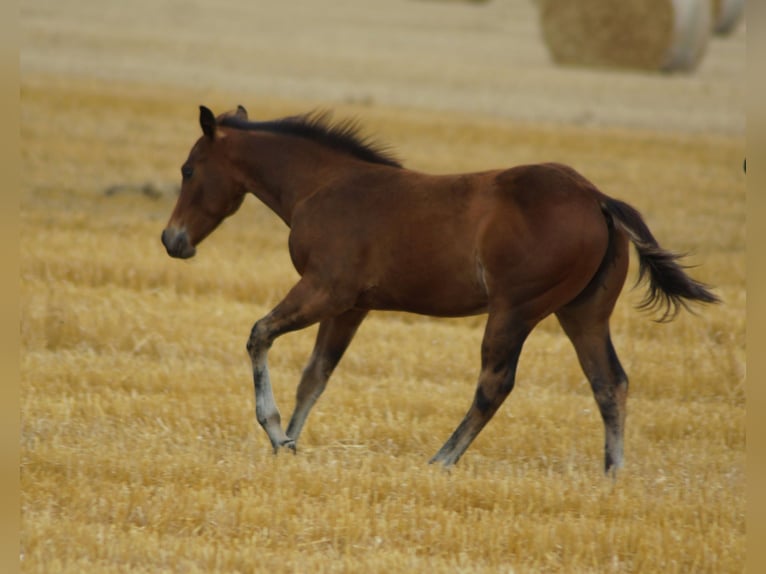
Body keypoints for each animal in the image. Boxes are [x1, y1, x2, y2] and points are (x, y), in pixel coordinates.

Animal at [161, 105, 719, 474]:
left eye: (188, 170)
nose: (172, 240)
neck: (322, 187)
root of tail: (597, 197)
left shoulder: (326, 290)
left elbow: (259, 335)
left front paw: (275, 430)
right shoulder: (351, 307)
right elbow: (315, 376)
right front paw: (291, 445)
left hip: (515, 309)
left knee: (495, 385)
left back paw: (442, 459)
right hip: (583, 313)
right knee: (610, 382)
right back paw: (612, 474)